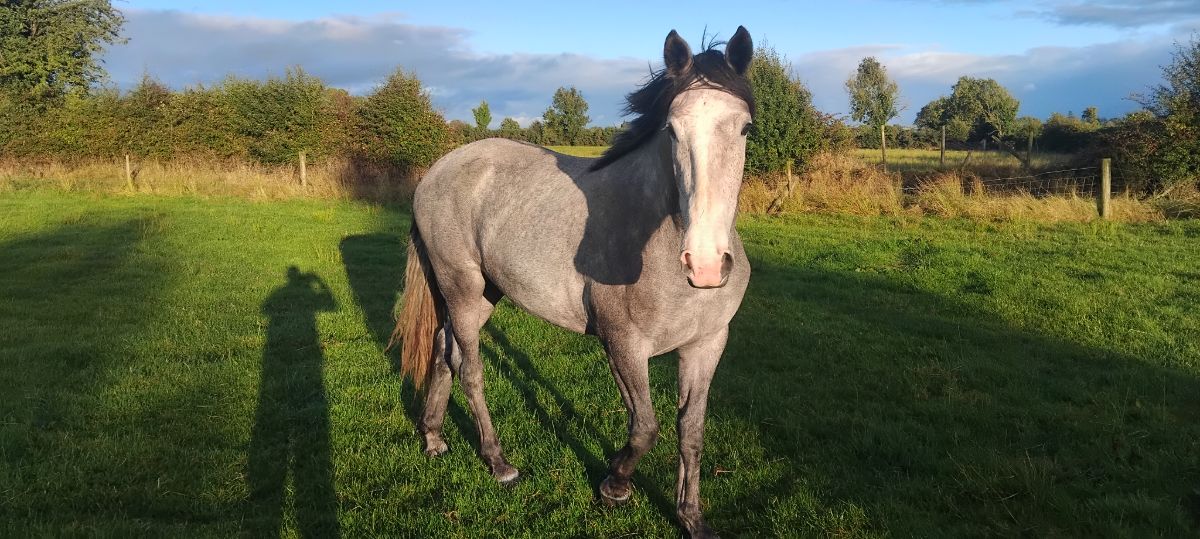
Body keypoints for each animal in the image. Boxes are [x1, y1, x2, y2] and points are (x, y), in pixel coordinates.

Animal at [392, 27, 755, 538]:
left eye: (744, 129)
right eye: (671, 130)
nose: (704, 264)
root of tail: (437, 171)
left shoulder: (706, 345)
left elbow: (691, 432)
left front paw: (691, 518)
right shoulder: (622, 345)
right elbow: (645, 427)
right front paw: (615, 486)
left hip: (483, 295)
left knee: (445, 353)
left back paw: (432, 438)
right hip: (460, 290)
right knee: (470, 370)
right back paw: (499, 463)